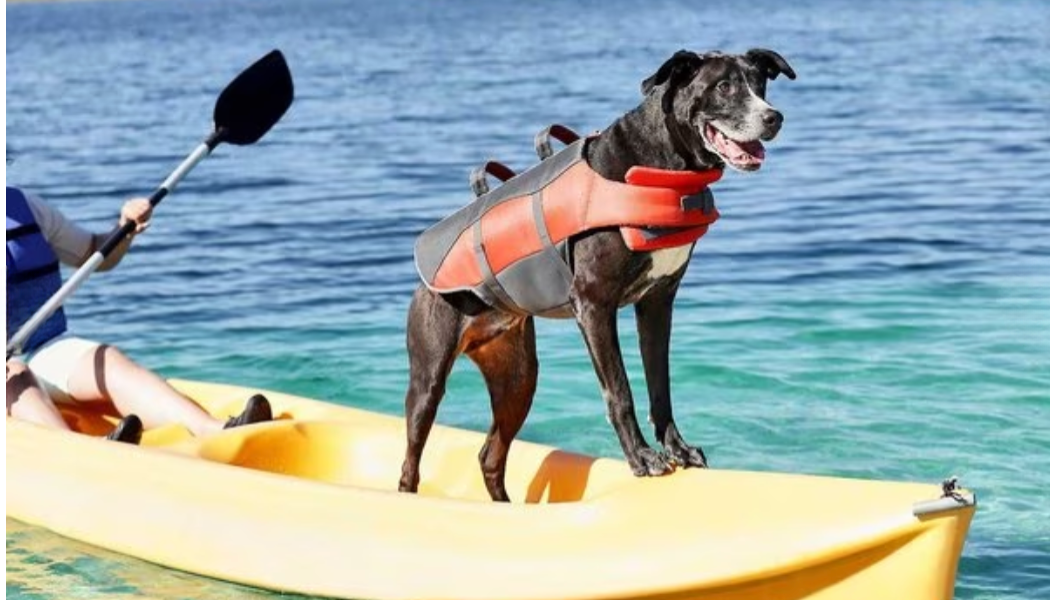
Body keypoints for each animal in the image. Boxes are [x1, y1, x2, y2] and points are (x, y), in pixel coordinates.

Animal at [401, 48, 793, 502]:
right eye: (724, 86)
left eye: (759, 84)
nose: (773, 117)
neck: (659, 162)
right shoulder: (593, 304)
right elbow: (619, 391)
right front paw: (642, 459)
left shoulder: (657, 302)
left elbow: (660, 386)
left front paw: (677, 448)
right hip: (429, 376)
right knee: (411, 461)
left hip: (518, 377)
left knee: (490, 456)